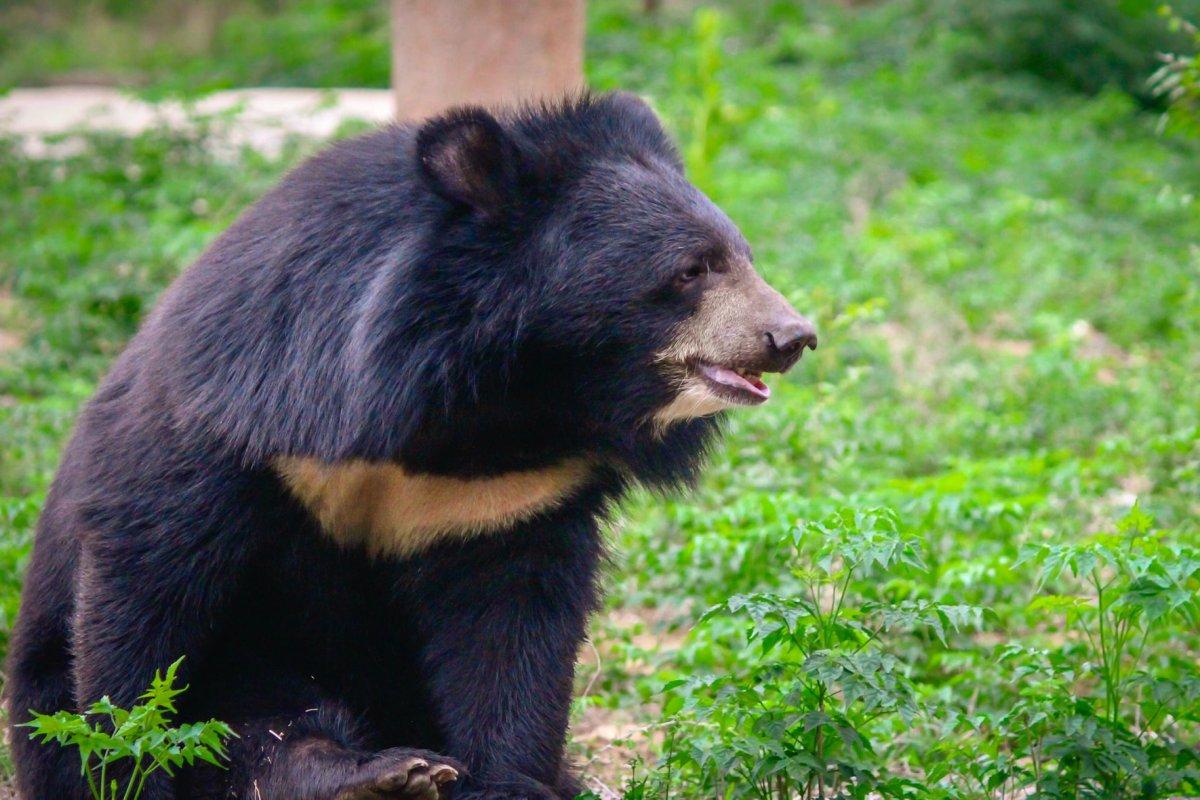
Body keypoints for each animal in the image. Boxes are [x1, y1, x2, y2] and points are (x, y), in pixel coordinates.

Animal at [4, 95, 816, 800]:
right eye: (691, 269)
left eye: (743, 256)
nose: (792, 336)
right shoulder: (241, 417)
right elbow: (148, 585)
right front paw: (124, 766)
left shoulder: (515, 492)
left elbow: (511, 632)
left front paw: (506, 784)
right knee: (263, 727)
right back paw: (369, 776)